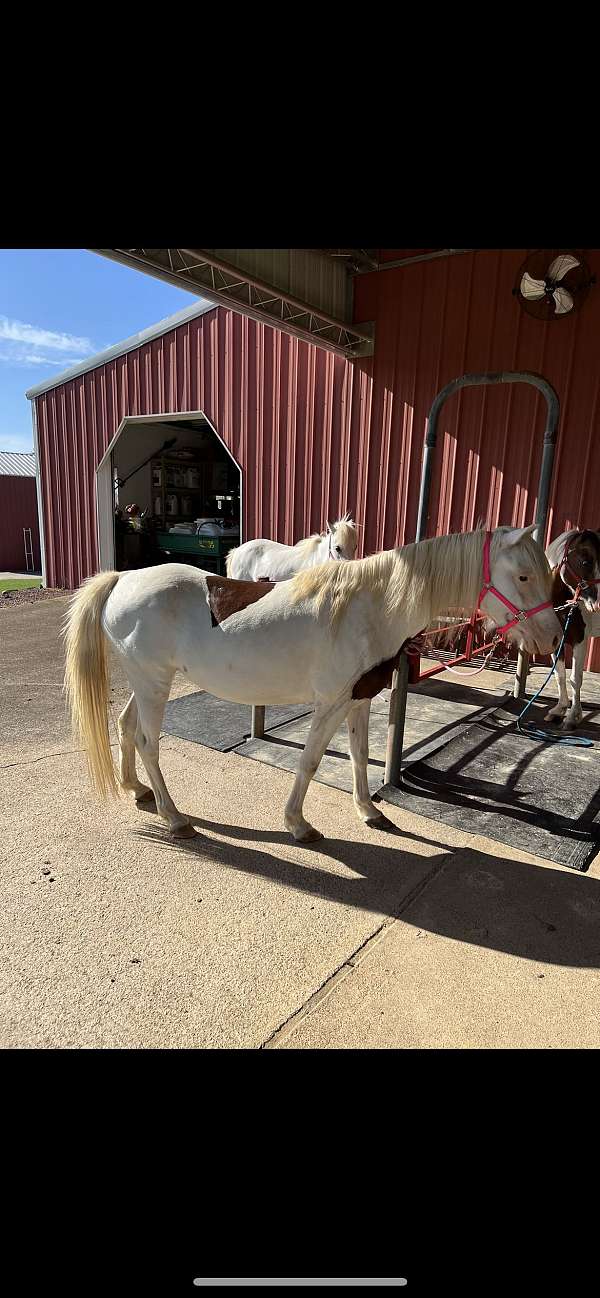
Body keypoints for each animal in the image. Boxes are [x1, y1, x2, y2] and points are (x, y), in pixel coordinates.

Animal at [64, 524, 558, 841]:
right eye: (523, 575)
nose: (553, 637)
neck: (368, 608)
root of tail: (123, 579)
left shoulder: (359, 700)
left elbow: (359, 755)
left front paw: (369, 811)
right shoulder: (332, 702)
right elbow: (310, 761)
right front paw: (297, 824)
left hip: (147, 681)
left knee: (127, 727)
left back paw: (136, 789)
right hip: (154, 684)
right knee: (149, 743)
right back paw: (174, 817)